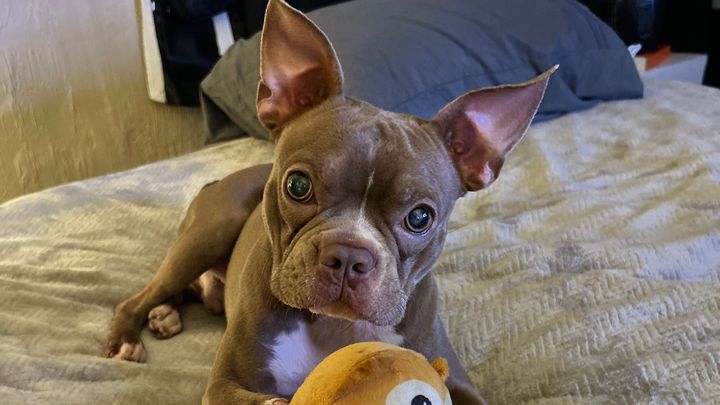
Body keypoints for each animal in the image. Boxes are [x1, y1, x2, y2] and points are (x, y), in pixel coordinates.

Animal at [105, 1, 556, 403]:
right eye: (298, 185)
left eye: (420, 218)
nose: (349, 255)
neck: (333, 326)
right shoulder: (224, 386)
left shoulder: (458, 381)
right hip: (209, 232)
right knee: (140, 295)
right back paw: (131, 335)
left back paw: (166, 313)